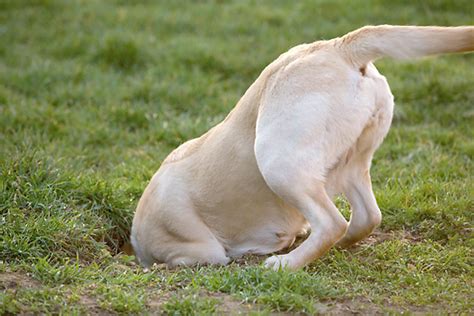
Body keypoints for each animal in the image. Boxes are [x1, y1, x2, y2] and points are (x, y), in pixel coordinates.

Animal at [131, 25, 474, 270]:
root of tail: (338, 47)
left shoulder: (199, 250)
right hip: (352, 164)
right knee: (366, 217)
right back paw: (334, 245)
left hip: (276, 161)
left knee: (332, 222)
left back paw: (283, 264)